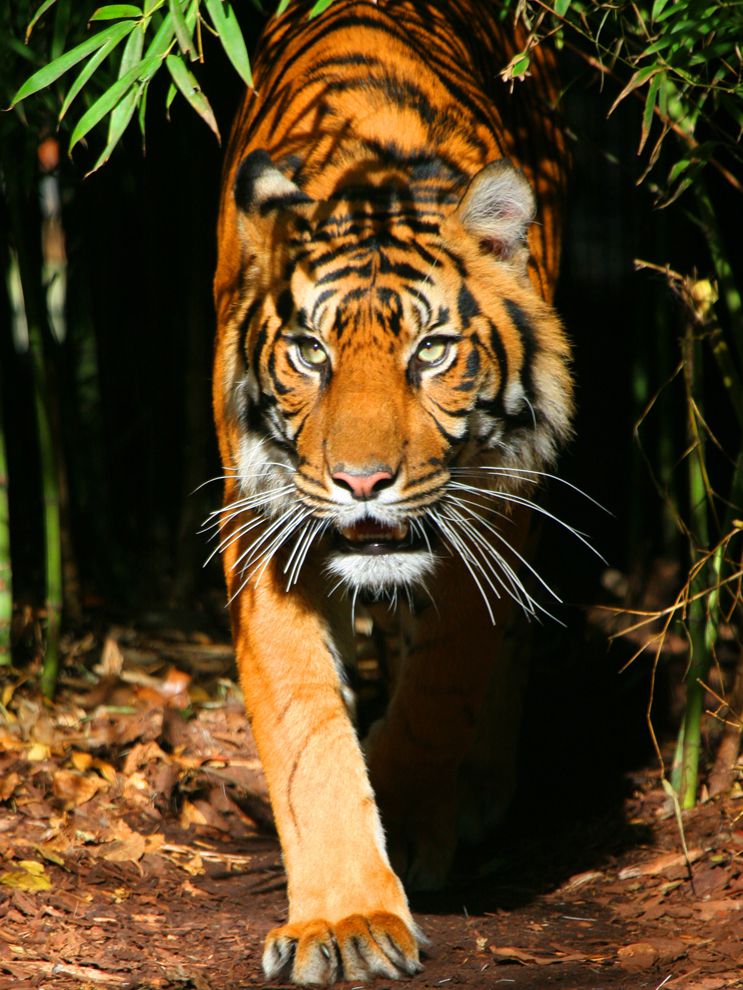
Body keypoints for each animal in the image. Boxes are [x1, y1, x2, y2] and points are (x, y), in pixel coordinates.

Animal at [212, 0, 572, 984]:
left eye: (431, 351)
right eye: (310, 353)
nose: (362, 482)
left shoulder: (490, 521)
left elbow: (441, 690)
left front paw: (411, 820)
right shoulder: (267, 534)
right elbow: (307, 737)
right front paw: (345, 918)